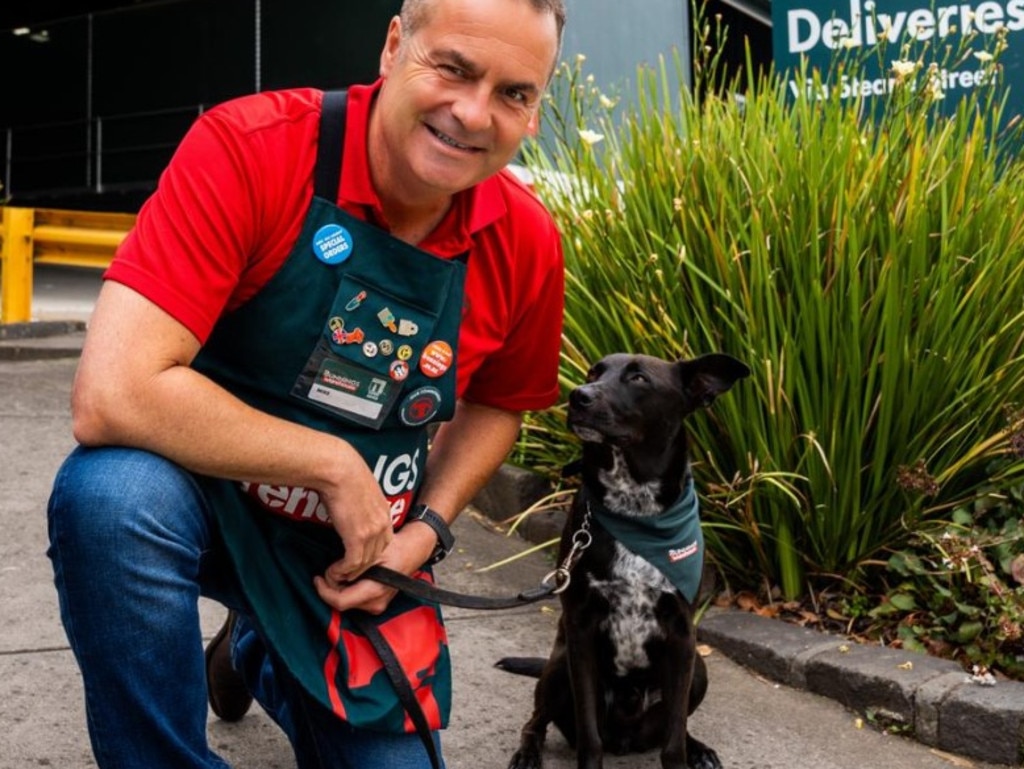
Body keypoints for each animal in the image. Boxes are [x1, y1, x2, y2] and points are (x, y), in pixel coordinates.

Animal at [493, 354, 745, 769]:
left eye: (639, 378)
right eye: (594, 372)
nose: (578, 396)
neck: (635, 509)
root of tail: (628, 739)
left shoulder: (682, 636)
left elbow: (674, 737)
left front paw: (685, 753)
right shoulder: (580, 631)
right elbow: (589, 736)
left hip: (699, 668)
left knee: (674, 726)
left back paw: (699, 748)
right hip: (558, 668)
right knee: (536, 720)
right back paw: (528, 753)